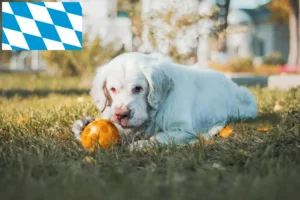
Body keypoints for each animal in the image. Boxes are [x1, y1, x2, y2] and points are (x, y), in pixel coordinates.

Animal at [71, 52, 256, 149]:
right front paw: (82, 127)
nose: (121, 115)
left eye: (138, 88)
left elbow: (159, 137)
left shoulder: (182, 129)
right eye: (112, 89)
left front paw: (139, 145)